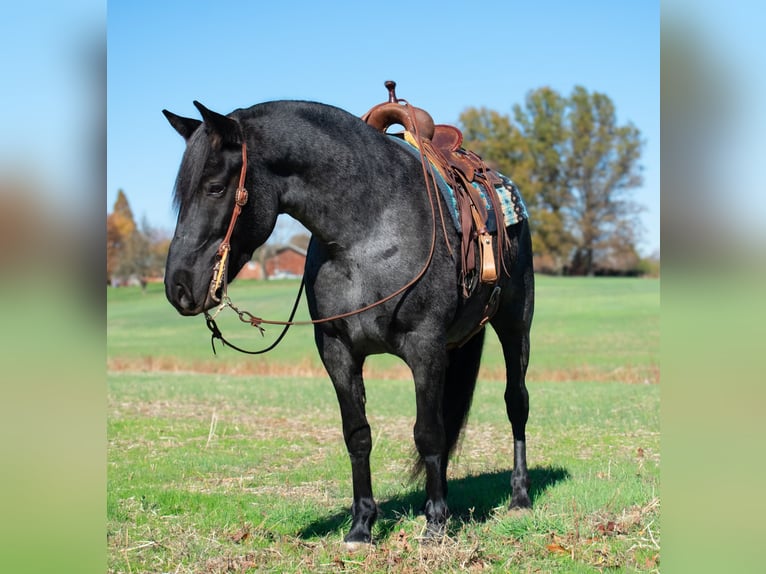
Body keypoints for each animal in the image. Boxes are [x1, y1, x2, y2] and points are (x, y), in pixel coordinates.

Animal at [162, 97, 536, 548]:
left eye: (215, 188)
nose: (178, 286)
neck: (368, 233)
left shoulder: (425, 347)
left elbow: (427, 432)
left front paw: (434, 526)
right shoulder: (338, 351)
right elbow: (358, 434)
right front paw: (361, 526)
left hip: (515, 325)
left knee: (515, 404)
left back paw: (518, 497)